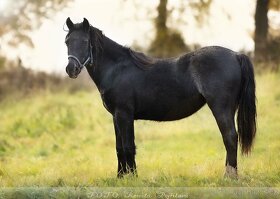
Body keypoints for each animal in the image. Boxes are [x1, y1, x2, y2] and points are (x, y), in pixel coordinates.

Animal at [64, 17, 256, 178]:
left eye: (84, 41)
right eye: (67, 42)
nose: (71, 69)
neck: (117, 69)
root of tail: (236, 55)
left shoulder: (124, 115)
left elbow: (128, 146)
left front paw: (133, 177)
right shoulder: (116, 116)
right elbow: (119, 147)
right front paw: (120, 177)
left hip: (221, 108)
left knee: (230, 137)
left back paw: (229, 176)